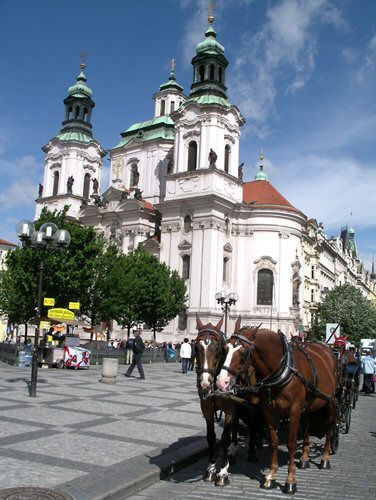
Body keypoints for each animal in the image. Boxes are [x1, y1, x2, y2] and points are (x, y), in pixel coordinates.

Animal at [195, 316, 258, 484]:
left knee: (256, 426)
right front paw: (210, 469)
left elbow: (224, 438)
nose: (205, 384)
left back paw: (252, 452)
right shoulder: (207, 409)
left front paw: (223, 472)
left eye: (218, 349)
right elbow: (211, 437)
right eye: (196, 347)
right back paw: (233, 452)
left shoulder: (230, 410)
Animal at [216, 318, 340, 494]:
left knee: (330, 426)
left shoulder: (294, 411)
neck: (281, 370)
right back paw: (304, 458)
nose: (222, 382)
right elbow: (273, 441)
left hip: (330, 400)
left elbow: (291, 443)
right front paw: (270, 476)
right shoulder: (269, 411)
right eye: (225, 349)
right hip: (310, 405)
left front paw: (290, 481)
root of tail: (327, 349)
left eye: (243, 352)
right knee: (308, 426)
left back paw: (325, 458)